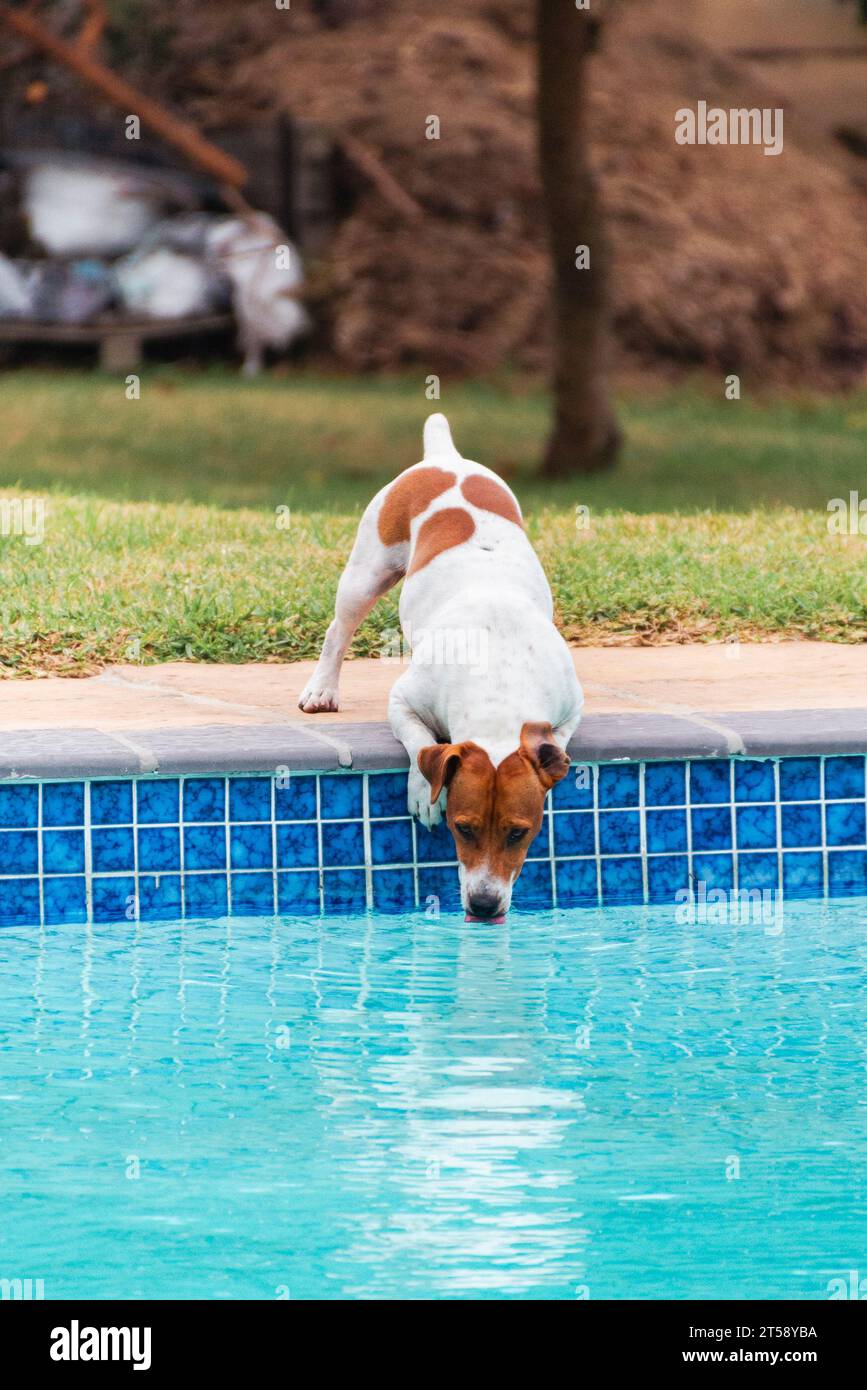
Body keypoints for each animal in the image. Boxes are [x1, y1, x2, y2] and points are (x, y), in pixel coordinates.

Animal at [297, 408, 583, 922]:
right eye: (461, 827)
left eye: (520, 832)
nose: (485, 905)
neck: (498, 687)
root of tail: (442, 458)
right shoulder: (404, 701)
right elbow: (420, 743)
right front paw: (421, 792)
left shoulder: (570, 707)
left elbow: (558, 741)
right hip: (366, 571)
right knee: (338, 630)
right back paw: (322, 689)